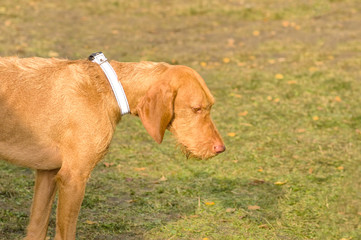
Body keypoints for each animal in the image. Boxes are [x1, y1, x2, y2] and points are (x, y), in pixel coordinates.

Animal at [0, 54, 224, 240]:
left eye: (211, 106)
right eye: (196, 109)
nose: (221, 148)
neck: (109, 88)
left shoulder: (47, 173)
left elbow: (37, 228)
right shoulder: (73, 179)